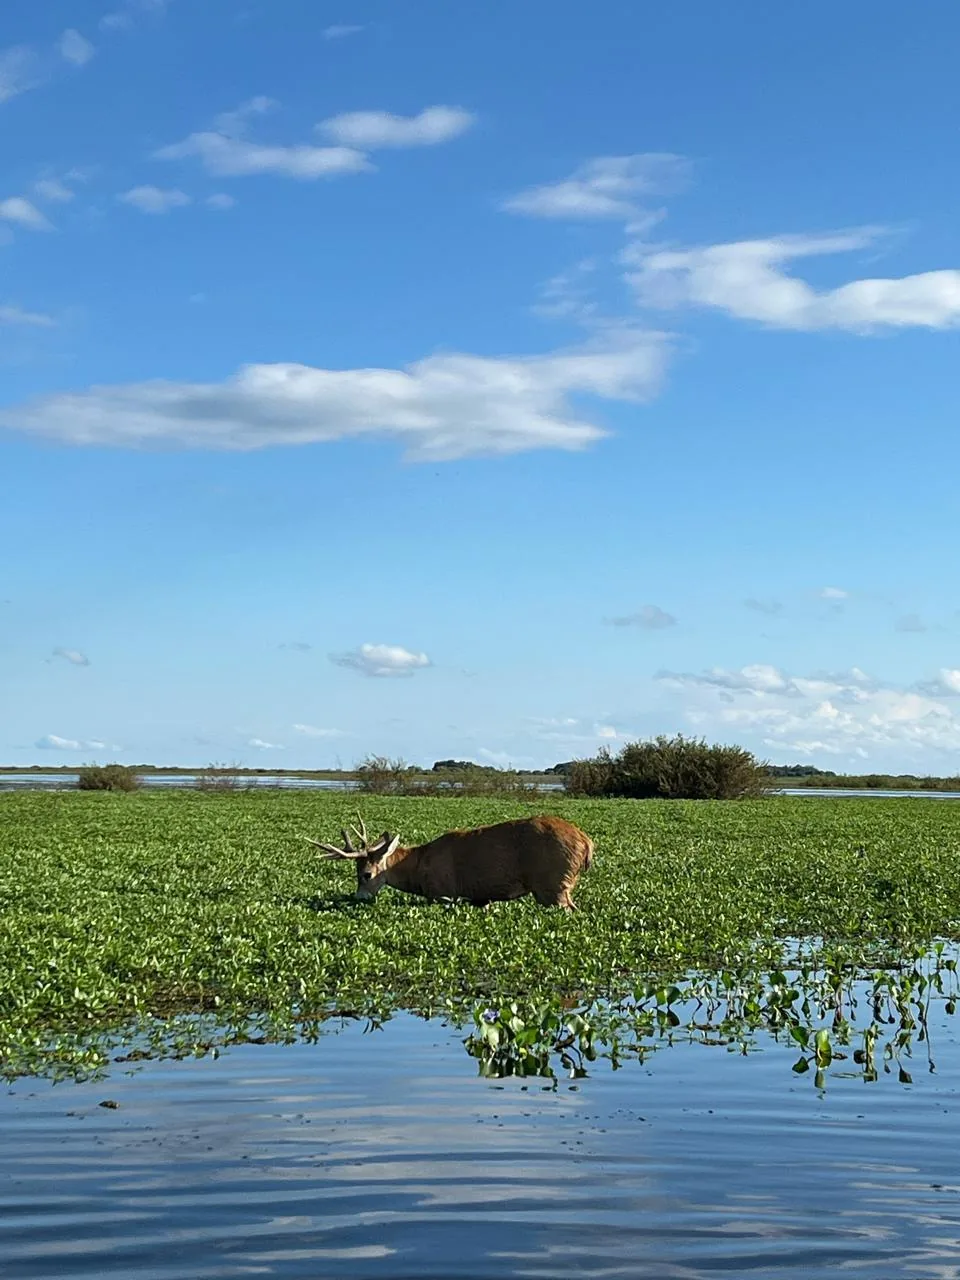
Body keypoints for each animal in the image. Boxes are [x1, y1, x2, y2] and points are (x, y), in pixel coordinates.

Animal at [304, 813, 593, 910]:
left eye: (365, 874)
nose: (359, 898)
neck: (418, 866)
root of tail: (587, 842)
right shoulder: (479, 898)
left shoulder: (443, 893)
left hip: (552, 884)